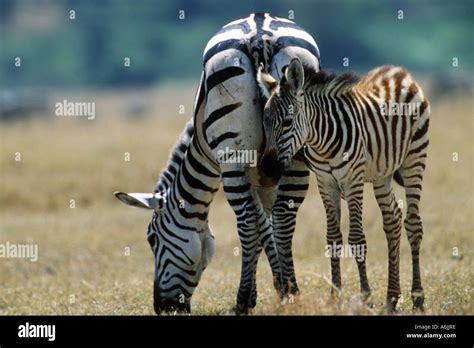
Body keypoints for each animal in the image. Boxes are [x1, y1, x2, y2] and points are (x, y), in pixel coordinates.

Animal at [115, 13, 322, 314]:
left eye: (152, 239)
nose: (163, 307)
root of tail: (259, 33)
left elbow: (259, 226)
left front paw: (264, 291)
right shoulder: (266, 173)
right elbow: (268, 225)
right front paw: (280, 287)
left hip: (232, 155)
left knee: (246, 220)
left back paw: (243, 301)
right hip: (296, 145)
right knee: (285, 216)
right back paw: (292, 293)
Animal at [258, 58, 432, 312]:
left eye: (288, 122)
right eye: (264, 122)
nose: (266, 171)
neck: (322, 144)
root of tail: (400, 72)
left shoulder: (353, 181)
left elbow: (357, 238)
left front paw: (365, 296)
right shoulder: (325, 182)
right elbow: (333, 238)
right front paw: (335, 296)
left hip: (414, 161)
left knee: (413, 224)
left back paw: (418, 297)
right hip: (381, 175)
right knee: (392, 221)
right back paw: (391, 298)